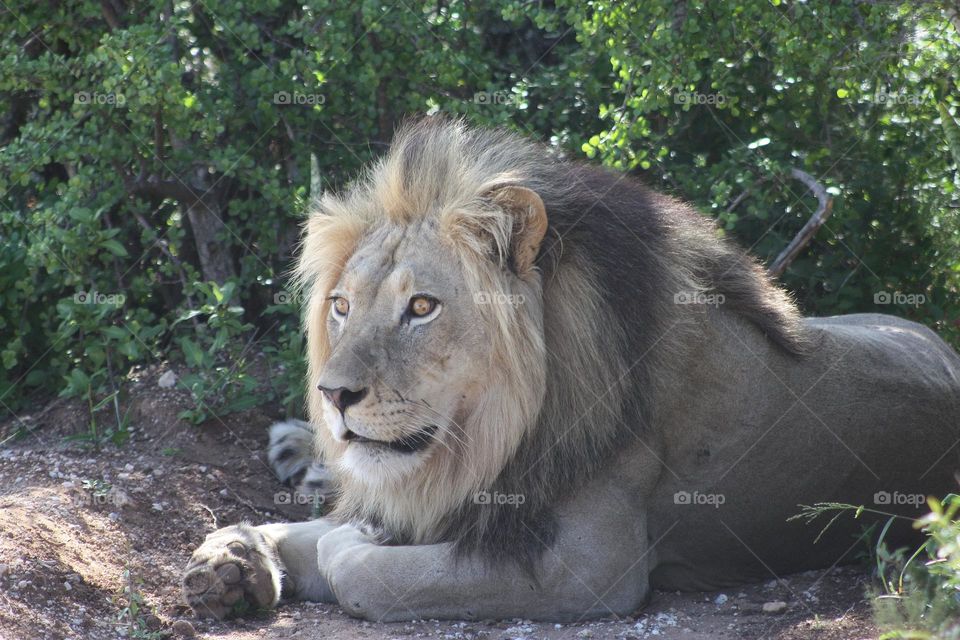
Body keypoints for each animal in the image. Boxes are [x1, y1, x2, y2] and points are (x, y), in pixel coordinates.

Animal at [182, 116, 960, 622]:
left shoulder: (589, 569)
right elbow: (304, 533)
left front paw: (347, 541)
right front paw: (234, 561)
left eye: (422, 307)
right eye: (341, 306)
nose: (332, 395)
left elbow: (359, 568)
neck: (486, 442)